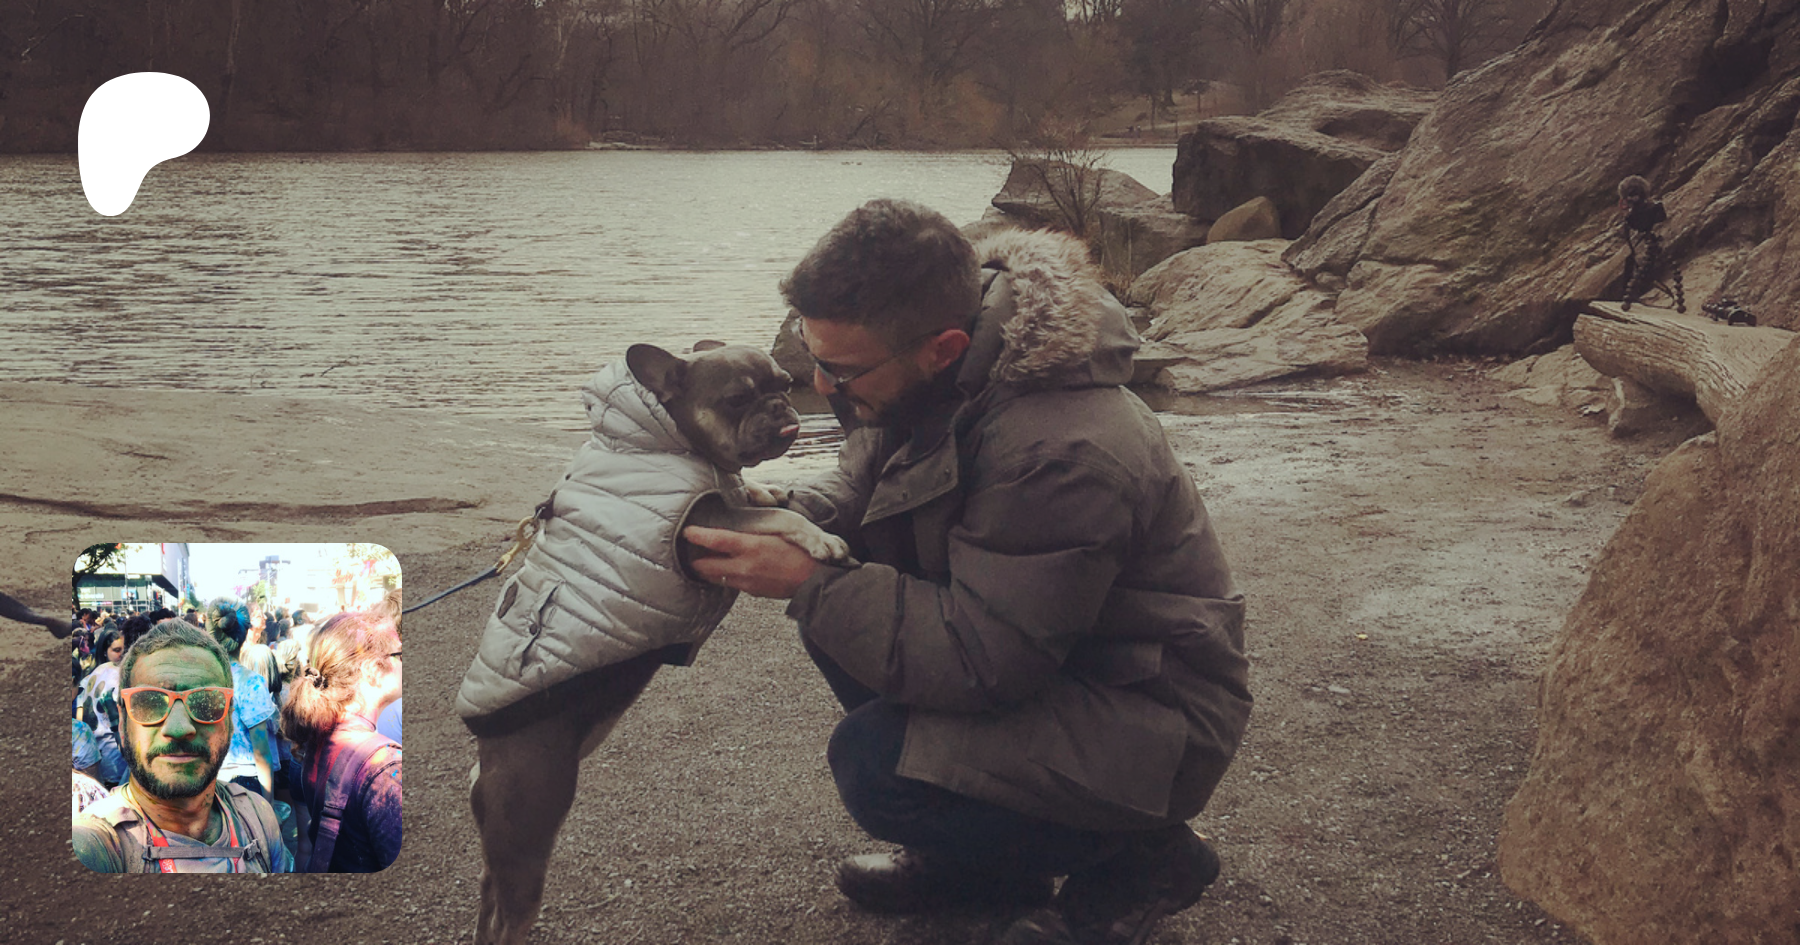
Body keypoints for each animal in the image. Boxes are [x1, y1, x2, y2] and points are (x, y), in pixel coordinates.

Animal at [461, 342, 849, 945]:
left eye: (785, 383)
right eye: (736, 399)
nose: (781, 407)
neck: (666, 439)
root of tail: (484, 765)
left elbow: (760, 496)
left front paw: (773, 487)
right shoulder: (712, 521)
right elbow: (769, 515)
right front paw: (819, 537)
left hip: (503, 849)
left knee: (485, 893)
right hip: (528, 841)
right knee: (508, 919)